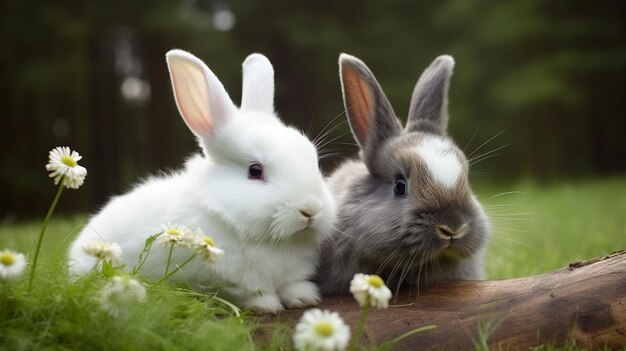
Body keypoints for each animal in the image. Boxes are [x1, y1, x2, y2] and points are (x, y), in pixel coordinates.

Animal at [68, 49, 334, 314]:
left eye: (313, 159)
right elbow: (251, 293)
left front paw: (303, 299)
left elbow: (294, 285)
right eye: (255, 171)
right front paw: (266, 306)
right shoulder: (230, 281)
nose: (310, 210)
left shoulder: (292, 274)